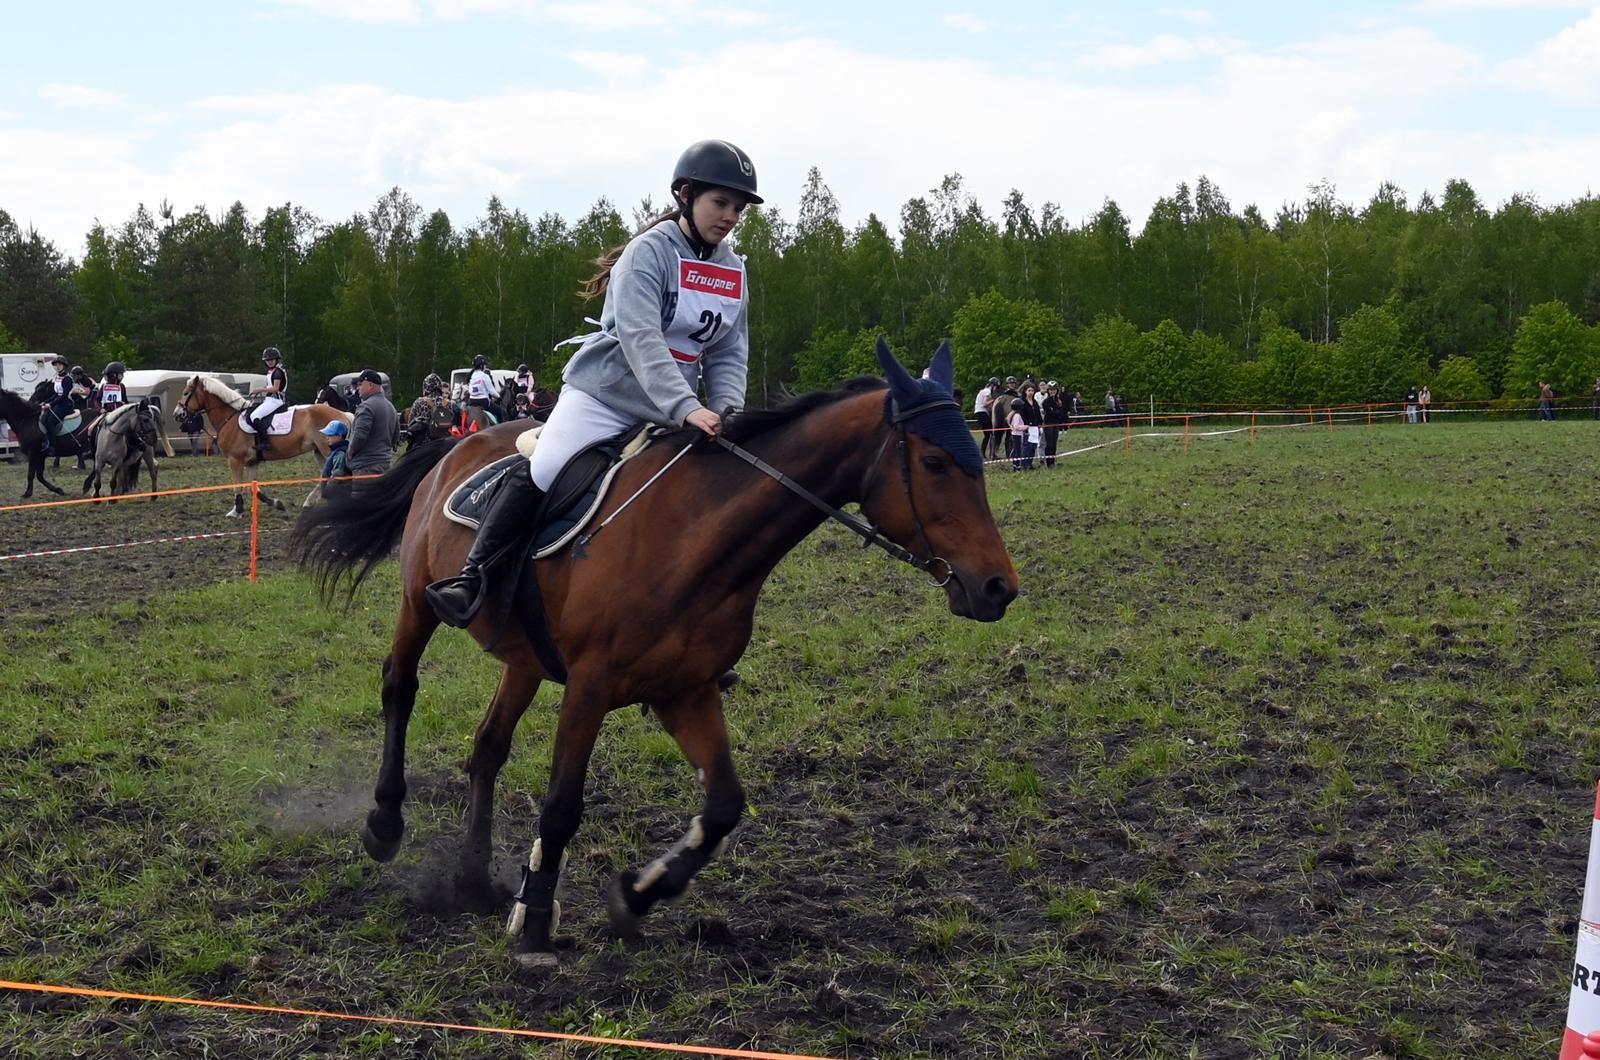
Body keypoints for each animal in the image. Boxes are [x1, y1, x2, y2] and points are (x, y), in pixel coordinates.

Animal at [176, 375, 352, 516]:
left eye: (185, 393)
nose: (177, 414)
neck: (230, 418)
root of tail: (342, 413)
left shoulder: (235, 460)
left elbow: (237, 485)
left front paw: (236, 511)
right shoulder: (252, 463)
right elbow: (255, 489)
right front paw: (276, 504)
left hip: (326, 450)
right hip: (319, 451)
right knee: (325, 474)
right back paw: (310, 501)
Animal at [292, 339, 1018, 967]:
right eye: (933, 463)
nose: (997, 587)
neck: (697, 540)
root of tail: (456, 441)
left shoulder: (684, 690)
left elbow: (723, 805)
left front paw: (638, 894)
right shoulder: (590, 687)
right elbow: (562, 807)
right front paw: (535, 926)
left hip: (524, 657)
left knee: (488, 747)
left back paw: (472, 881)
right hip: (418, 604)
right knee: (400, 687)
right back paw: (385, 822)